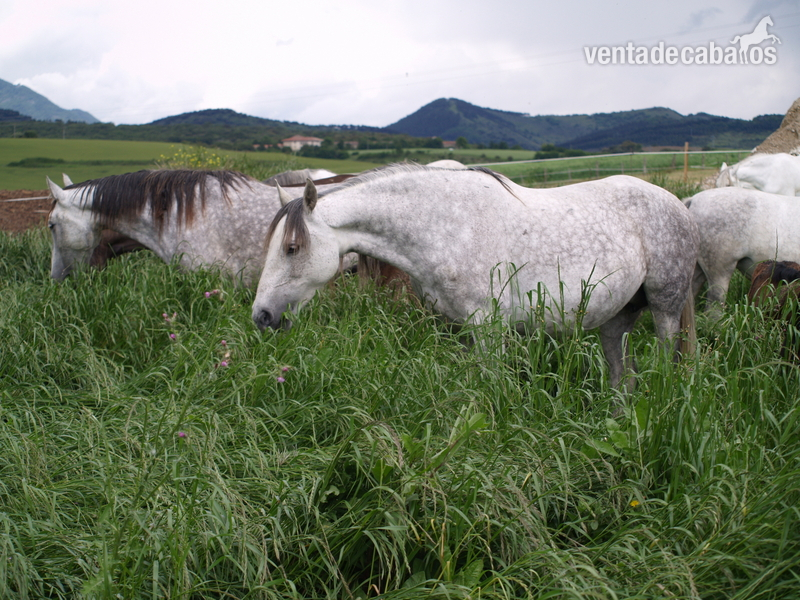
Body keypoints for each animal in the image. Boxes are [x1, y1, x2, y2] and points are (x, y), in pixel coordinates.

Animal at [253, 164, 698, 388]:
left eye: (291, 248)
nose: (262, 316)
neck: (446, 224)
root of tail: (679, 204)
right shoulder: (459, 328)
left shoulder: (488, 327)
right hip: (617, 319)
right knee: (622, 375)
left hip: (665, 309)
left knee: (665, 361)